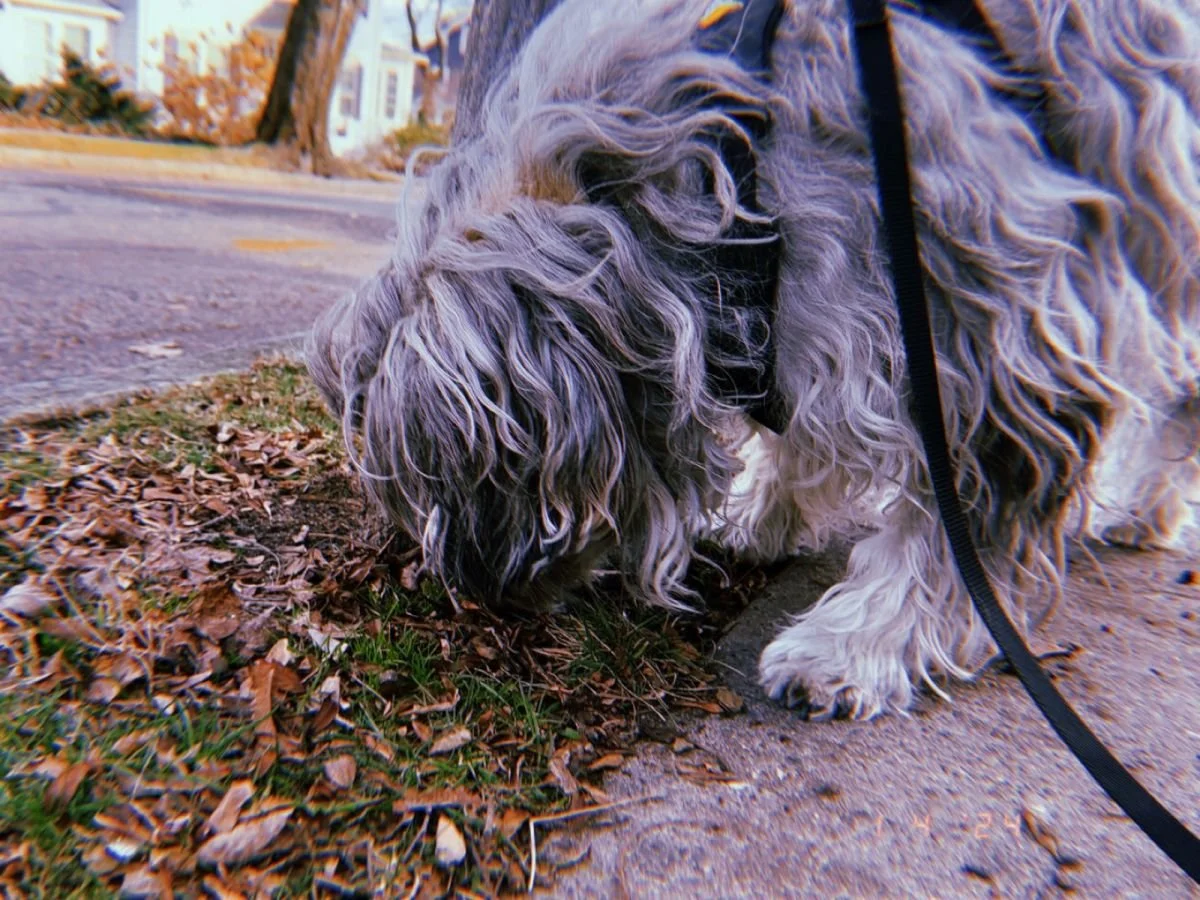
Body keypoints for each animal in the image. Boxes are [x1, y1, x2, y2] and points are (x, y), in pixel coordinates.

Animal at [308, 0, 1200, 720]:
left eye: (469, 468)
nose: (476, 593)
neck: (733, 162)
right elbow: (797, 427)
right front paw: (763, 514)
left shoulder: (990, 337)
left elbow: (957, 530)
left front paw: (860, 643)